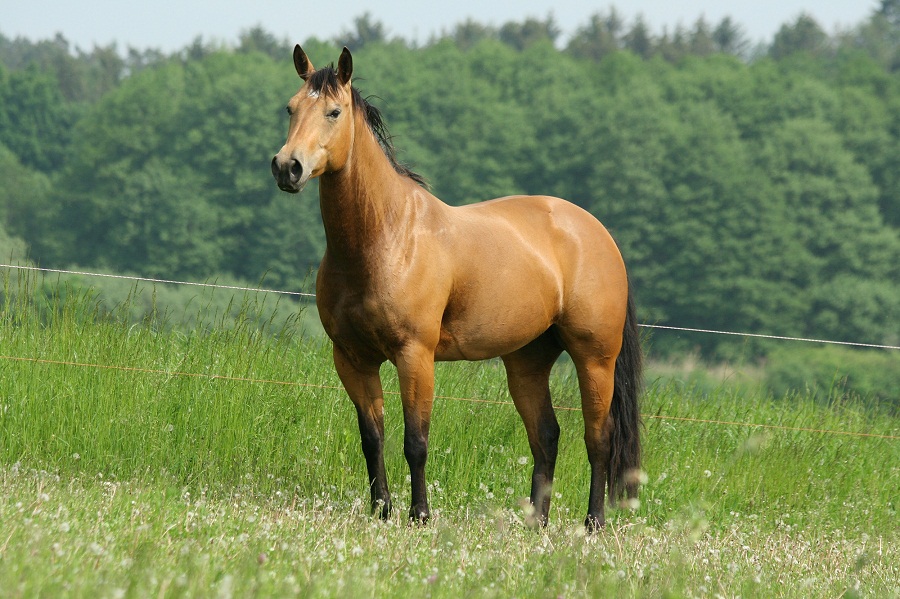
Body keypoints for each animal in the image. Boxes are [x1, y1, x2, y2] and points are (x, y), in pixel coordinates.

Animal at [270, 47, 644, 532]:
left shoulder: (415, 355)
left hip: (595, 359)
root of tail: (598, 234)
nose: (287, 167)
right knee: (546, 436)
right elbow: (372, 438)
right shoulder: (351, 358)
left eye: (333, 112)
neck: (387, 237)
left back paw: (593, 522)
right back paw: (535, 524)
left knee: (598, 438)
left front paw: (420, 515)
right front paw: (382, 511)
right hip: (527, 362)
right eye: (291, 108)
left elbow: (415, 441)